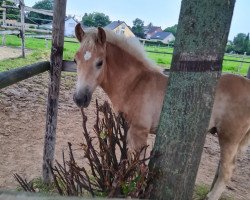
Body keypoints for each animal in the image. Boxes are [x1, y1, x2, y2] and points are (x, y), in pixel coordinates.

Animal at [73, 23, 250, 200]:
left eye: (100, 62)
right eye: (75, 60)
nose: (80, 98)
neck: (135, 83)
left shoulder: (139, 131)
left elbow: (137, 164)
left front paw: (133, 191)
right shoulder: (130, 130)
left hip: (229, 137)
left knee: (227, 170)